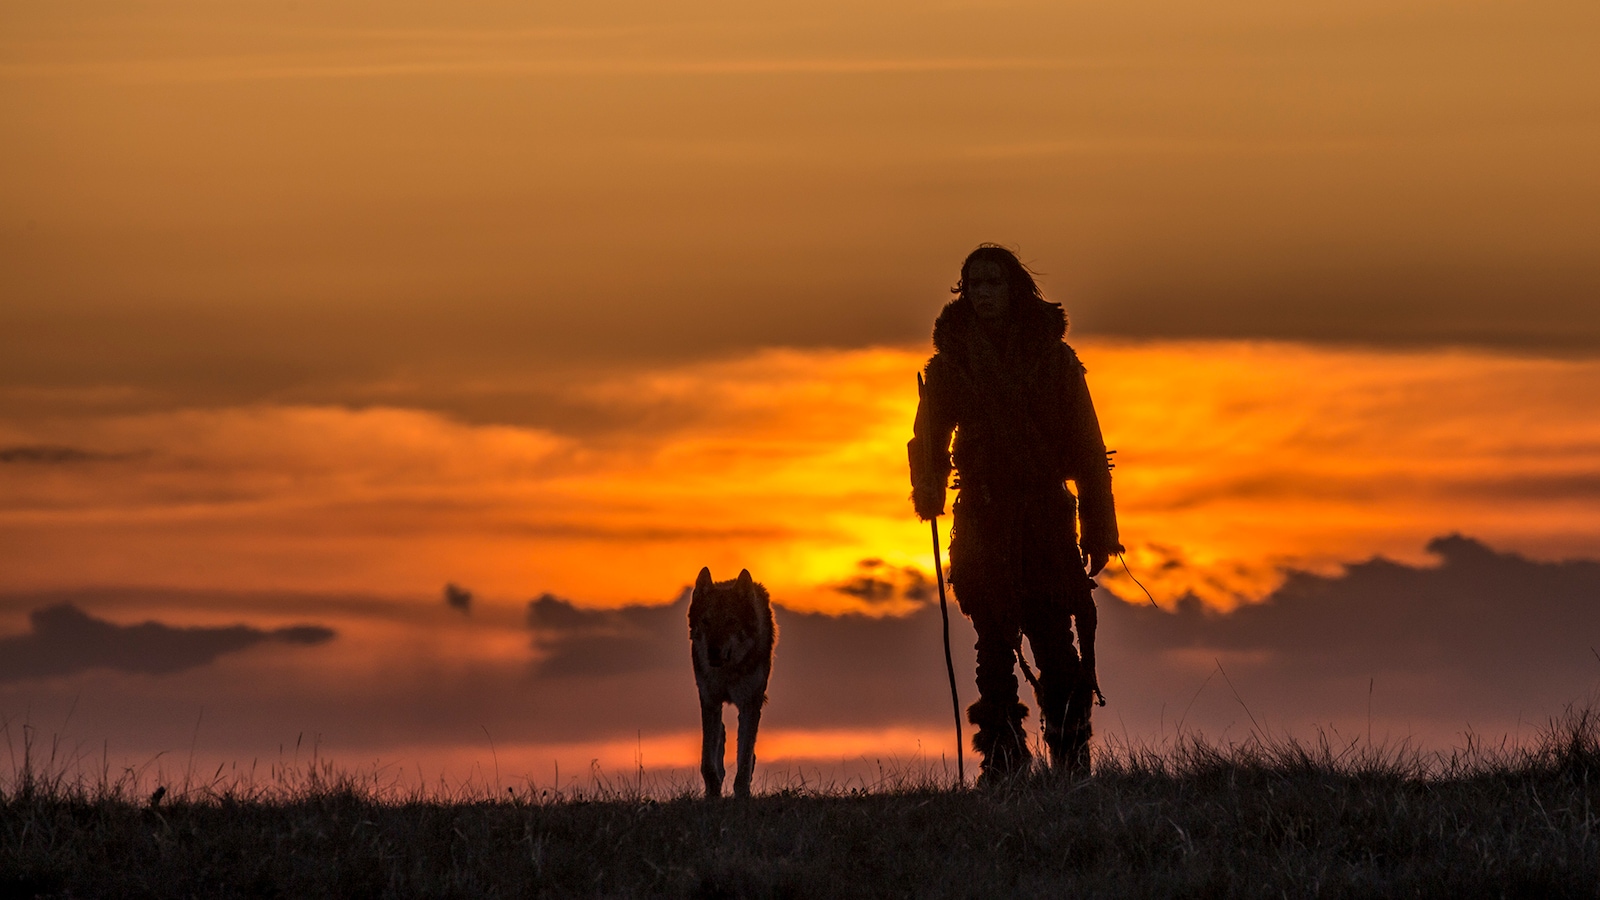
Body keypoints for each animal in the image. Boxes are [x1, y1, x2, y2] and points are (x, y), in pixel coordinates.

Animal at [688, 563, 774, 794]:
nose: (713, 652)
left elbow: (744, 758)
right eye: (706, 622)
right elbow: (707, 760)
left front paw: (742, 793)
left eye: (731, 622)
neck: (728, 671)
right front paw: (713, 793)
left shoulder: (749, 703)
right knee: (721, 734)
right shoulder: (709, 700)